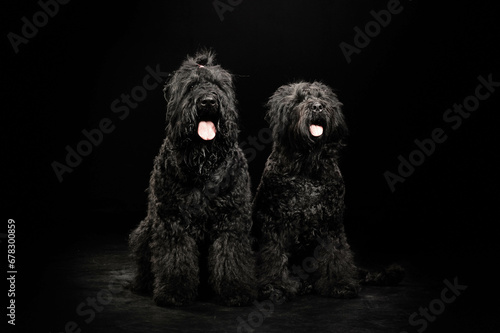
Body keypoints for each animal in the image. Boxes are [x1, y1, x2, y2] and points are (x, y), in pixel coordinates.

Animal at [129, 50, 256, 306]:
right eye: (191, 86)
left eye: (218, 85)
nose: (208, 101)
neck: (202, 165)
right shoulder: (172, 219)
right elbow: (176, 257)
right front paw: (174, 291)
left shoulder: (232, 219)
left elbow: (231, 255)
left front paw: (236, 290)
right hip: (146, 229)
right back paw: (142, 283)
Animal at [254, 81, 402, 300]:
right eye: (298, 100)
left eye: (322, 97)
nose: (317, 107)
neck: (306, 168)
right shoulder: (275, 225)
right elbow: (274, 256)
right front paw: (275, 286)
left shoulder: (331, 224)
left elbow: (335, 255)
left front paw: (339, 284)